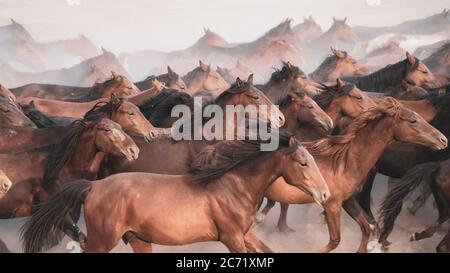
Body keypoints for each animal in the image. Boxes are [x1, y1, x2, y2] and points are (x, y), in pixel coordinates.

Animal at [20, 131, 330, 252]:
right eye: (303, 162)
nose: (325, 194)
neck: (233, 186)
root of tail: (94, 185)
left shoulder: (244, 234)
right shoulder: (231, 238)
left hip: (139, 239)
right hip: (102, 241)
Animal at [260, 97, 446, 251]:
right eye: (413, 120)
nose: (443, 140)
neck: (343, 162)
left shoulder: (348, 201)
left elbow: (366, 228)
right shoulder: (332, 205)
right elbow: (335, 240)